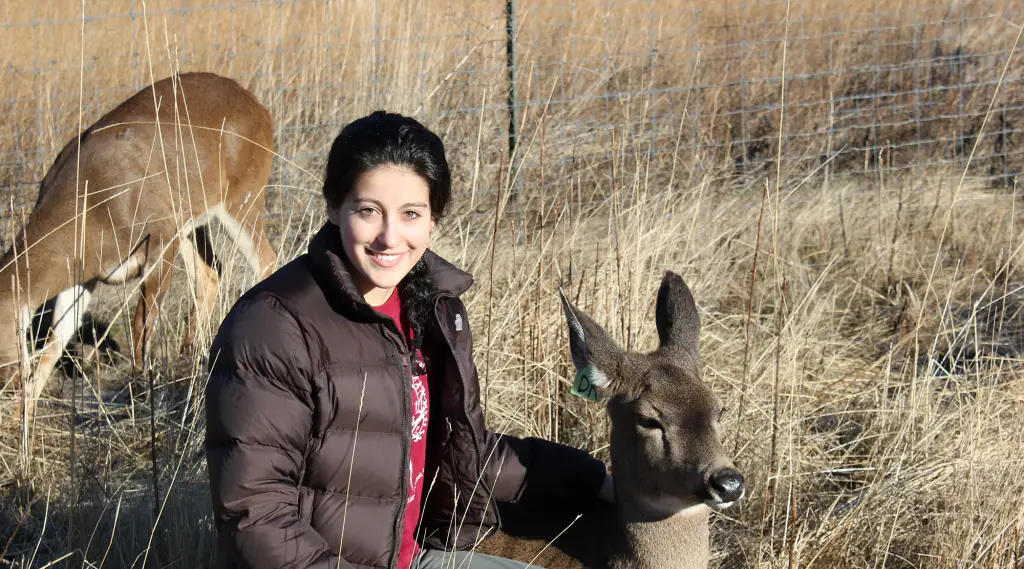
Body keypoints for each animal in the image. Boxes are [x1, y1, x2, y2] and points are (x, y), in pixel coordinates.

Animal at [1, 72, 276, 421]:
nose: (6, 384)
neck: (90, 206)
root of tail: (259, 108)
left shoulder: (158, 239)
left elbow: (140, 324)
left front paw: (139, 393)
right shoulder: (84, 273)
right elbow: (57, 338)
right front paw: (21, 415)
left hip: (242, 198)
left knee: (266, 261)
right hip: (190, 220)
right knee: (211, 271)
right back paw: (188, 360)